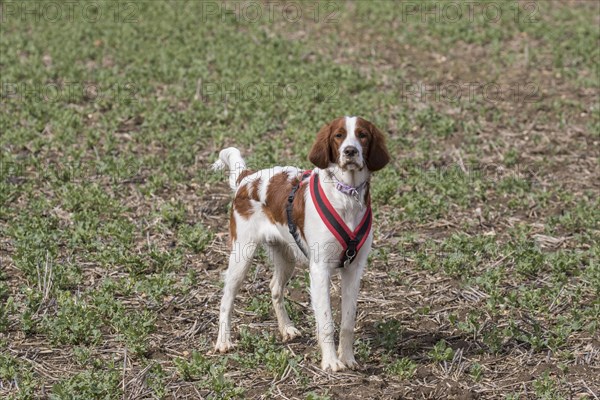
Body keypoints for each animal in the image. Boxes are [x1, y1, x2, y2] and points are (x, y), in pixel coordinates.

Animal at [211, 116, 390, 372]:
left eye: (362, 135)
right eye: (339, 135)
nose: (350, 151)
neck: (346, 195)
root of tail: (248, 177)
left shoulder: (354, 270)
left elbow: (347, 321)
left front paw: (347, 358)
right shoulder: (320, 270)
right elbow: (326, 320)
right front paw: (331, 362)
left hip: (286, 257)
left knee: (275, 288)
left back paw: (286, 328)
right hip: (241, 256)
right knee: (226, 299)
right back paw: (223, 342)